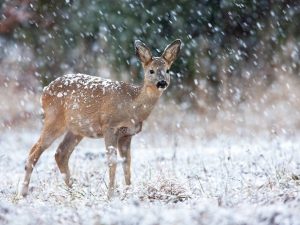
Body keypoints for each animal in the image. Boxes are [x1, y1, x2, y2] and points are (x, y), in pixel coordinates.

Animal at [21, 39, 182, 198]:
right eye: (151, 70)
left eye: (168, 70)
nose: (162, 82)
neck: (132, 105)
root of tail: (44, 91)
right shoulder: (109, 126)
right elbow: (112, 161)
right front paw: (111, 195)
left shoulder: (127, 134)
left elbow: (127, 163)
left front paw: (128, 191)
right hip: (54, 119)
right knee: (34, 152)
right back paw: (23, 193)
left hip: (77, 129)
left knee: (60, 153)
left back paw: (74, 191)